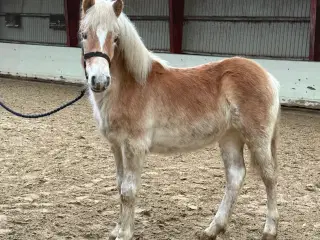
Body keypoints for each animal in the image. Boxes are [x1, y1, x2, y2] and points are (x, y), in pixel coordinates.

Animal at [79, 0, 280, 239]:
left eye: (115, 37)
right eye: (84, 34)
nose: (99, 81)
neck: (131, 86)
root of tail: (268, 77)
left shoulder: (134, 146)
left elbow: (128, 191)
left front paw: (124, 233)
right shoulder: (117, 146)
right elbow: (120, 186)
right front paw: (117, 229)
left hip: (257, 138)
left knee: (269, 177)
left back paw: (269, 229)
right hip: (230, 137)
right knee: (235, 176)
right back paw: (213, 228)